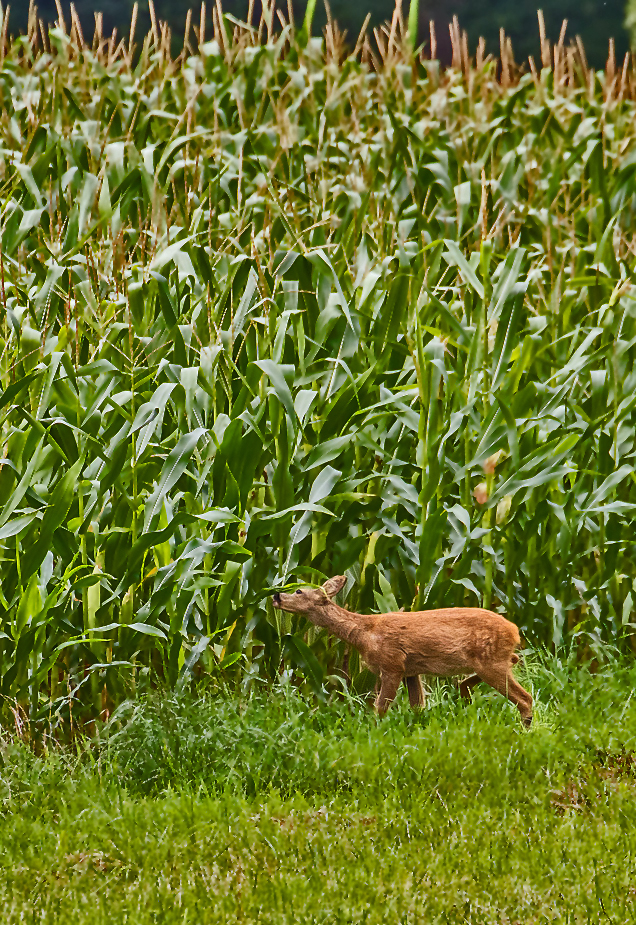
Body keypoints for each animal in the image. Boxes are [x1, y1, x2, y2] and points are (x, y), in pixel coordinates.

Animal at [272, 572, 532, 724]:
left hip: (490, 661)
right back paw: (465, 689)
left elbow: (380, 708)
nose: (276, 596)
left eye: (298, 590)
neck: (364, 634)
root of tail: (514, 630)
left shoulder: (392, 664)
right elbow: (418, 707)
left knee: (525, 698)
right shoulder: (411, 670)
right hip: (491, 661)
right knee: (513, 663)